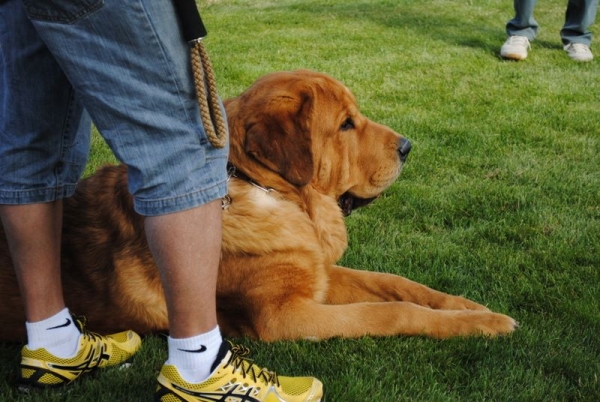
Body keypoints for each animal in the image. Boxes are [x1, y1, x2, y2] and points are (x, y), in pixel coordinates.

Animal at [0, 70, 516, 342]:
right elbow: (391, 312)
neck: (275, 195)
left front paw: (469, 308)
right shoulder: (285, 315)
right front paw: (482, 324)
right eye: (346, 125)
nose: (408, 147)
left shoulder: (317, 274)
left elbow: (396, 284)